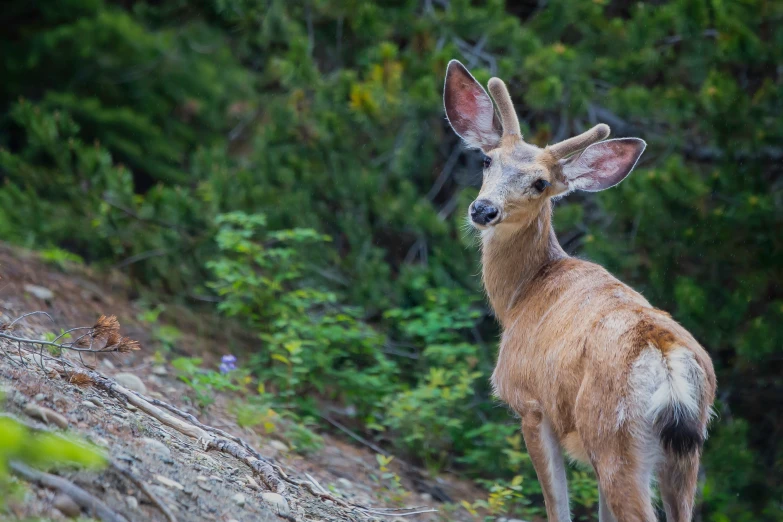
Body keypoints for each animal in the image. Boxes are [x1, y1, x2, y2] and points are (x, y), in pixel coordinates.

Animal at [440, 61, 716, 520]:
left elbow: (557, 506)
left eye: (540, 183)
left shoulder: (531, 403)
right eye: (487, 159)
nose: (483, 209)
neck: (521, 296)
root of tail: (667, 357)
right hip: (685, 451)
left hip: (613, 434)